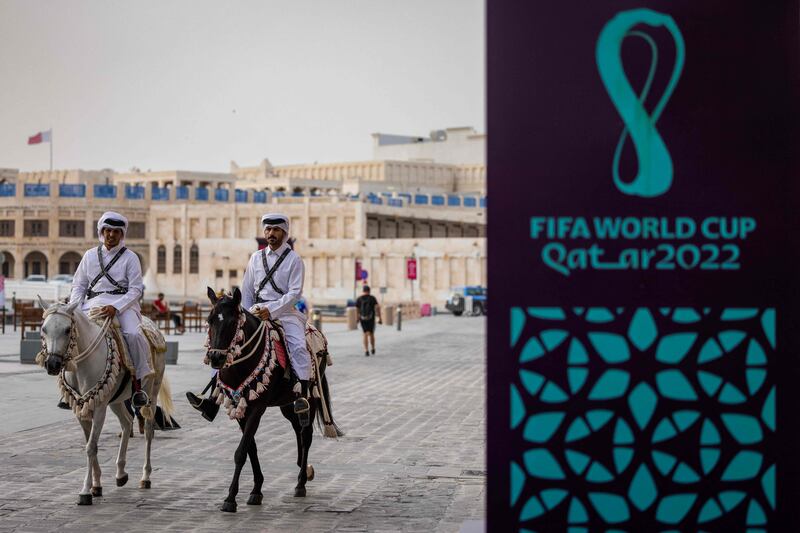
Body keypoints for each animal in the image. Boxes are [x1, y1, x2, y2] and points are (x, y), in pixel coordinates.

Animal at [37, 300, 173, 502]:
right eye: (44, 329)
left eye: (67, 330)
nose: (52, 364)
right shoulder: (81, 408)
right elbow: (90, 444)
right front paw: (96, 485)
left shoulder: (99, 408)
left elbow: (91, 447)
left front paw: (85, 491)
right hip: (116, 399)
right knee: (126, 422)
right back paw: (121, 473)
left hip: (152, 391)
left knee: (149, 430)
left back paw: (145, 477)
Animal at [205, 286, 342, 512]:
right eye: (209, 320)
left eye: (233, 322)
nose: (216, 357)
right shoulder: (240, 407)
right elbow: (250, 448)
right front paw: (256, 489)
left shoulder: (257, 407)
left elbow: (241, 451)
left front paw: (230, 498)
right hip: (286, 402)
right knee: (297, 426)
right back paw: (304, 469)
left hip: (311, 396)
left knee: (306, 435)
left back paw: (301, 482)